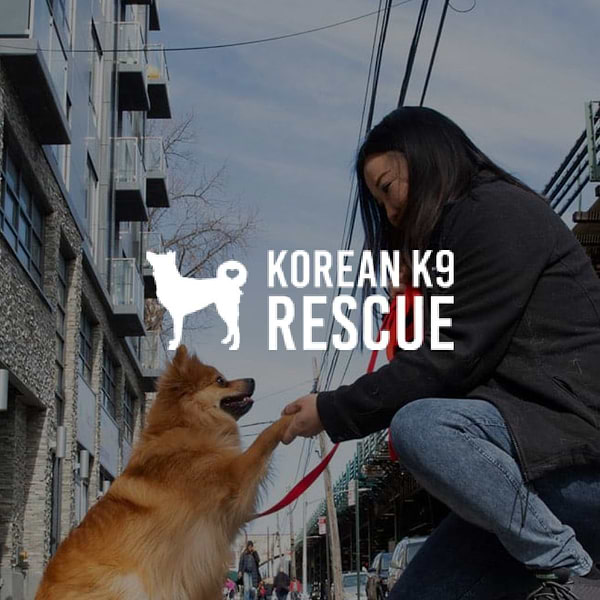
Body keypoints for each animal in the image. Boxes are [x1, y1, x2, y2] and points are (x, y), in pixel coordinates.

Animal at [35, 344, 292, 600]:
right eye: (220, 380)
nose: (252, 380)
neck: (187, 424)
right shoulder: (233, 479)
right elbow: (263, 438)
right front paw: (286, 420)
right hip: (129, 582)